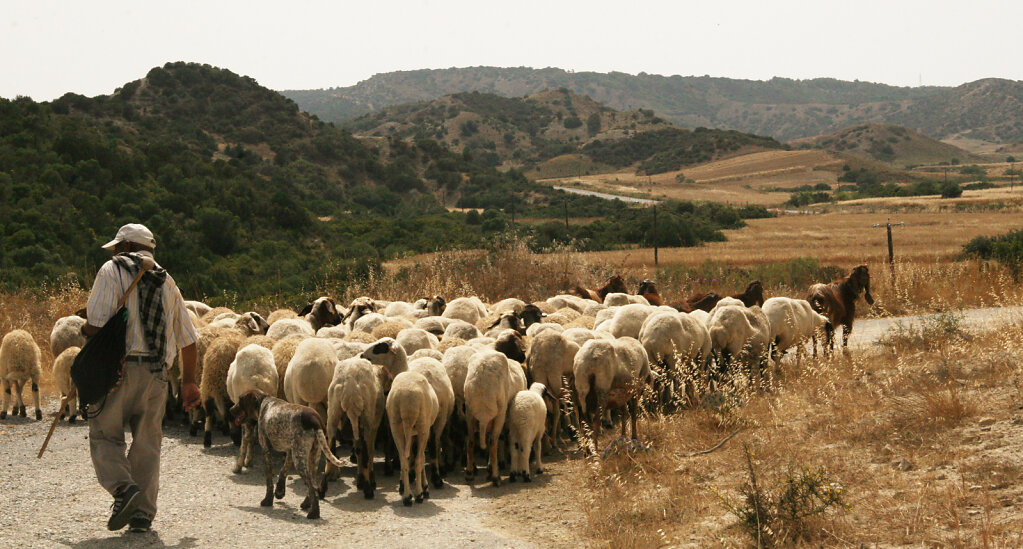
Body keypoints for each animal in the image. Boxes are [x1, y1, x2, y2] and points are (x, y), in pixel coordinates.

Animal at [319, 357, 384, 498]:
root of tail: (350, 386)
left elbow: (359, 450)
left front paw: (360, 479)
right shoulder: (373, 426)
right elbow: (369, 451)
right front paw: (369, 480)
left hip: (333, 412)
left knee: (330, 449)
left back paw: (322, 489)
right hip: (366, 416)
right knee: (366, 451)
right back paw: (368, 490)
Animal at [384, 368, 437, 505]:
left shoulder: (412, 435)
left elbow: (409, 458)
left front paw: (402, 485)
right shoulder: (424, 431)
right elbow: (422, 458)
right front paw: (425, 487)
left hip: (395, 425)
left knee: (403, 459)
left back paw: (407, 496)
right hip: (423, 426)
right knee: (418, 460)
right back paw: (418, 494)